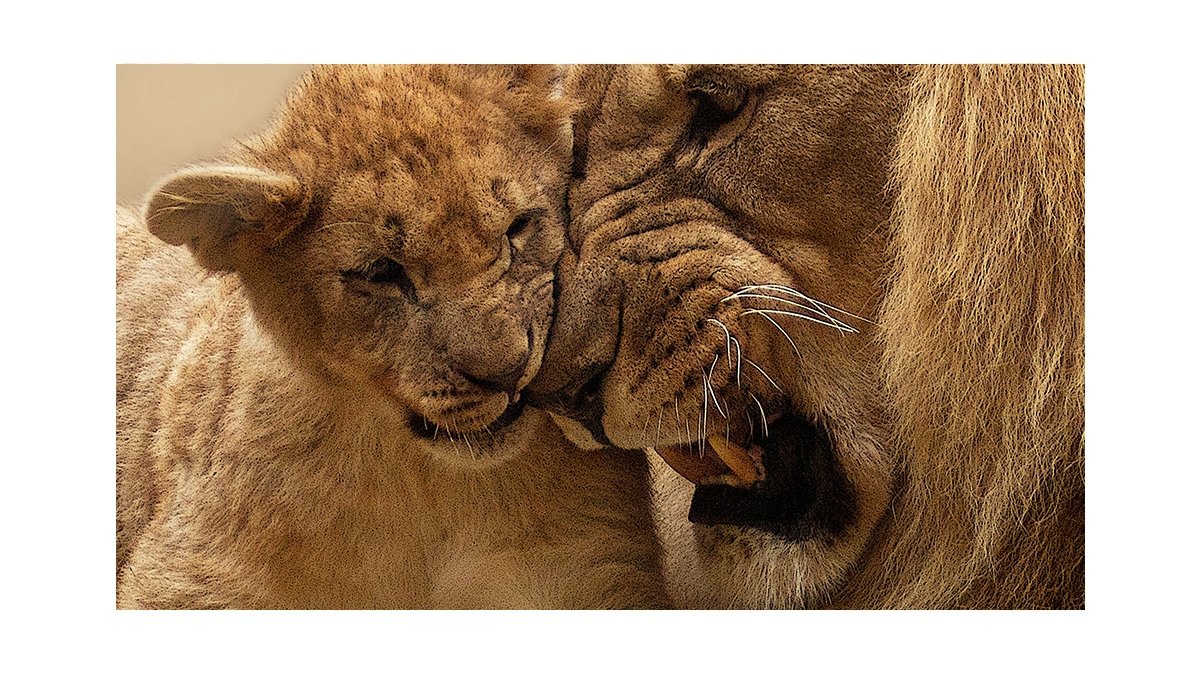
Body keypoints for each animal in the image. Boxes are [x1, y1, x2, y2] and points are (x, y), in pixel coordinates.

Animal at [116, 64, 667, 609]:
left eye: (518, 227)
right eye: (380, 272)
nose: (510, 372)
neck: (428, 485)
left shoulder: (588, 569)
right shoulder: (191, 578)